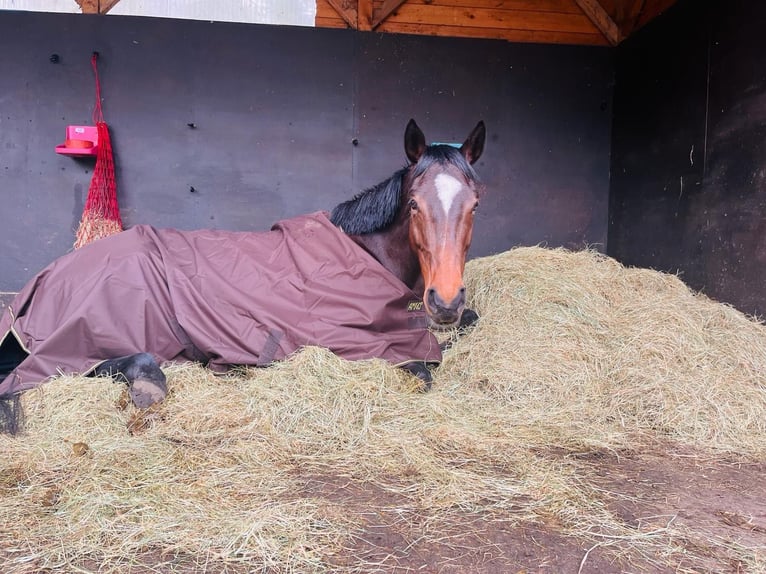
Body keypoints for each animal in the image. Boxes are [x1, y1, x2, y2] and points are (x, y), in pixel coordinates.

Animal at [0, 118, 488, 432]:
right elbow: (424, 368)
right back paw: (149, 385)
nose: (444, 300)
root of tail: (40, 285)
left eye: (475, 204)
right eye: (414, 205)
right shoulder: (357, 343)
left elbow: (469, 322)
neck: (362, 252)